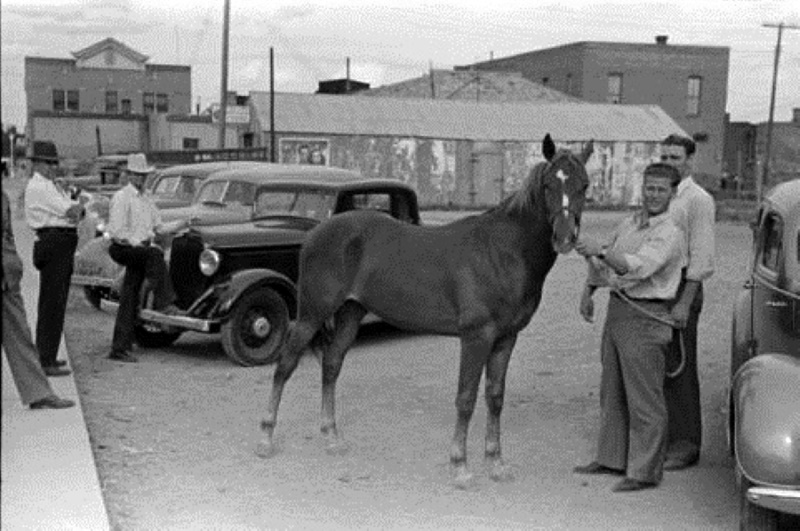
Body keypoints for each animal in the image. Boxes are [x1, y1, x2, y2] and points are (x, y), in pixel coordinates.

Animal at [257, 134, 594, 487]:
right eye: (548, 185)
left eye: (584, 185)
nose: (565, 237)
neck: (502, 251)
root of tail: (314, 233)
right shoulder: (476, 337)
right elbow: (466, 398)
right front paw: (460, 466)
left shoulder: (505, 339)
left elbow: (495, 397)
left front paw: (496, 463)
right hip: (312, 314)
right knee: (285, 365)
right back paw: (265, 438)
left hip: (350, 313)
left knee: (332, 365)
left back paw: (332, 437)